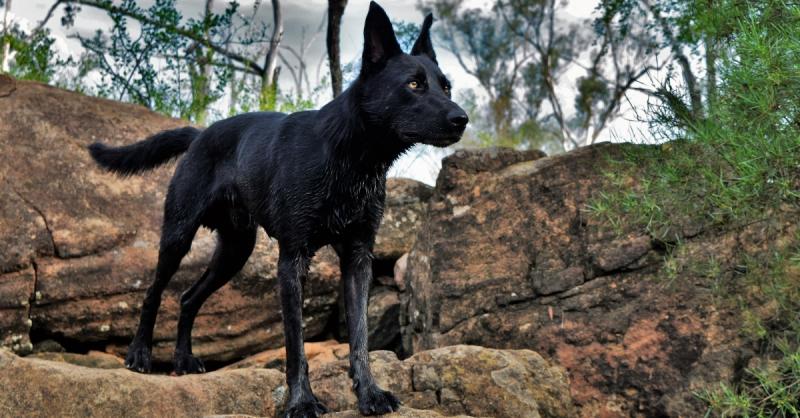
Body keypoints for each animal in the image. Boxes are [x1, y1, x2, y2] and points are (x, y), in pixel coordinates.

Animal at [86, 2, 466, 414]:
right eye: (413, 85)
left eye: (446, 86)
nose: (461, 119)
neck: (350, 157)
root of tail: (200, 134)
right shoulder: (293, 261)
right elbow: (295, 344)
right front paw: (301, 402)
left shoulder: (358, 258)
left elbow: (360, 336)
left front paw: (369, 393)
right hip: (178, 236)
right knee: (154, 293)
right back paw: (139, 354)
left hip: (234, 252)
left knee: (188, 299)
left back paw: (184, 360)